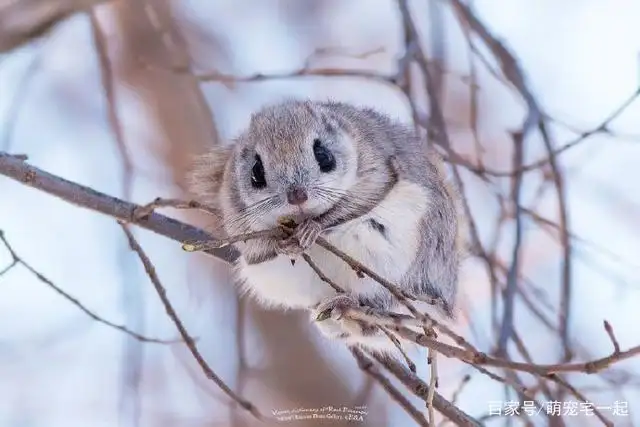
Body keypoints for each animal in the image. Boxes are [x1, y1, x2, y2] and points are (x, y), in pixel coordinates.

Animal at [188, 99, 468, 354]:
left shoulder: (375, 173)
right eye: (256, 172)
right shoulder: (237, 216)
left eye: (324, 156)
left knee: (388, 300)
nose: (297, 196)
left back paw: (352, 305)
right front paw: (282, 245)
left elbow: (353, 205)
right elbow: (256, 245)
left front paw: (313, 229)